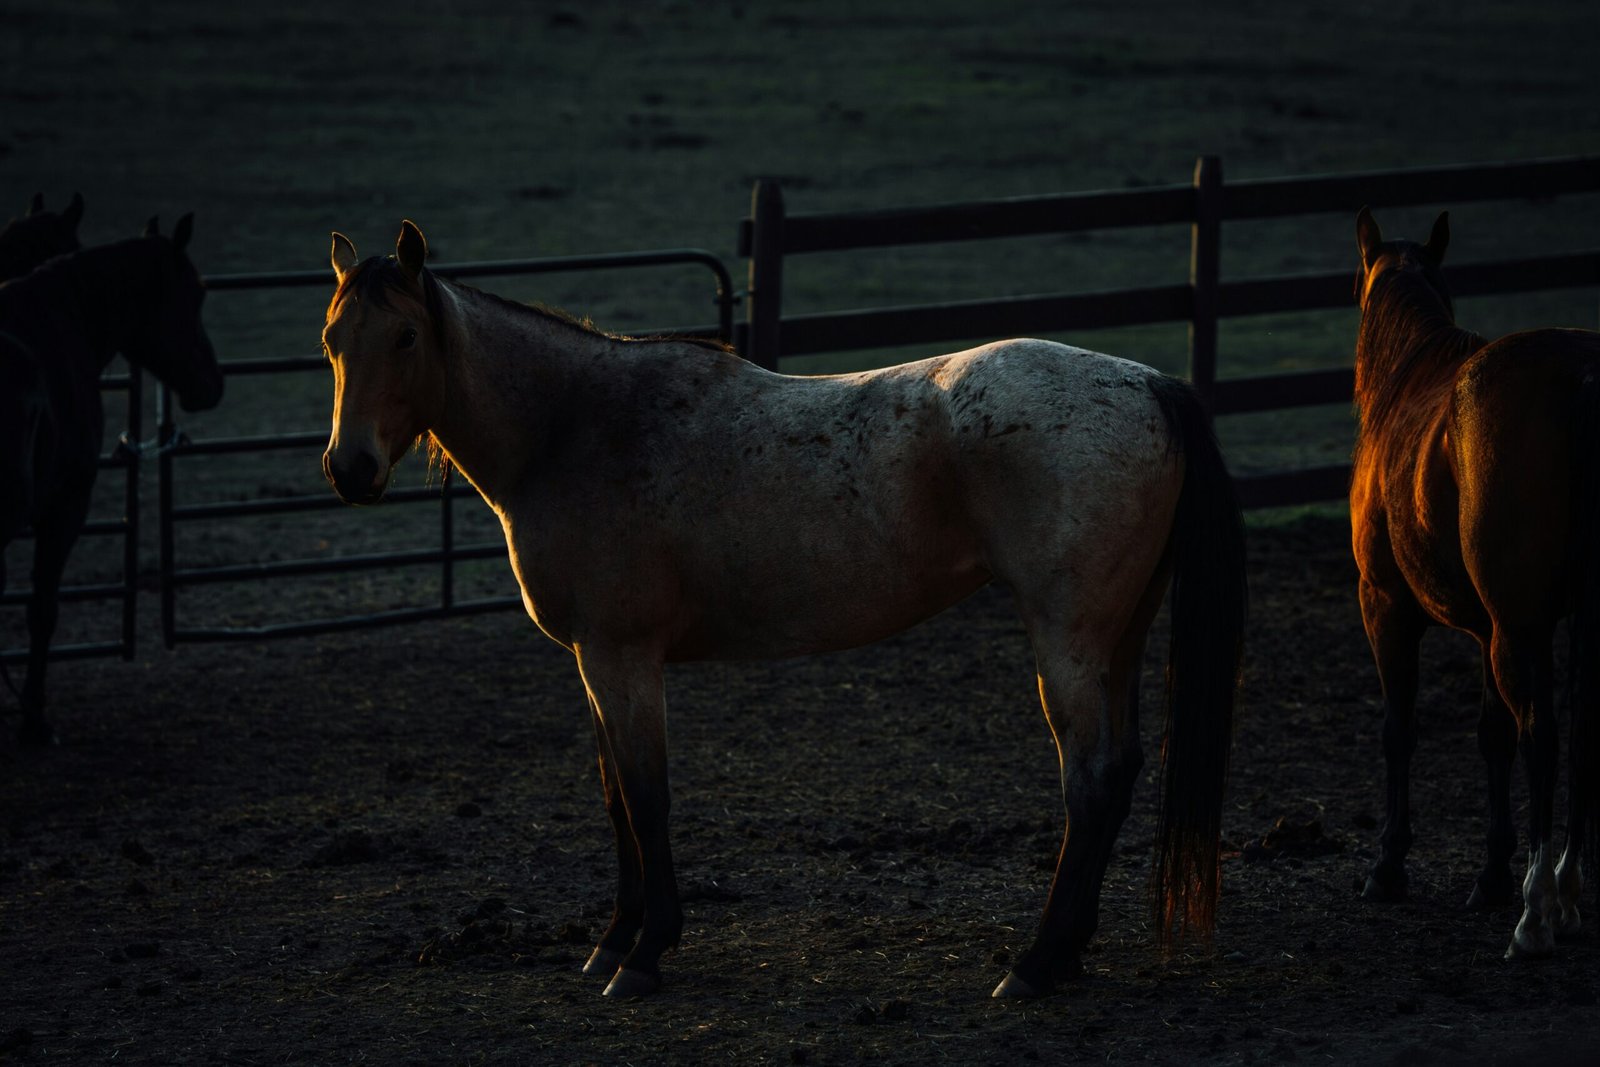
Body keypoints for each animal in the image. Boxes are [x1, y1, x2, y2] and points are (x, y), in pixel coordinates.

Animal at [319, 220, 1246, 999]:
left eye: (405, 337)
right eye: (331, 341)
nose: (348, 468)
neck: (577, 426)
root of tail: (1149, 383)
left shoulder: (621, 656)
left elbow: (647, 798)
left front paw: (645, 952)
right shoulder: (592, 661)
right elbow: (617, 796)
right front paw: (613, 941)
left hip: (1069, 642)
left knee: (1090, 779)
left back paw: (1035, 963)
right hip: (1117, 638)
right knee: (1119, 773)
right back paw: (1068, 953)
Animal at [1350, 206, 1600, 959]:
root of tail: (1580, 375)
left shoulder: (1385, 607)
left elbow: (1399, 728)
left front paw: (1388, 866)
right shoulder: (1488, 626)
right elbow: (1491, 736)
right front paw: (1490, 873)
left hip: (1517, 628)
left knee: (1543, 733)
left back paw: (1537, 913)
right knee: (1573, 731)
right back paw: (1566, 890)